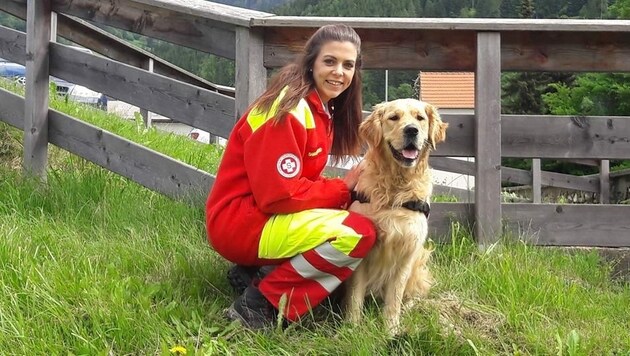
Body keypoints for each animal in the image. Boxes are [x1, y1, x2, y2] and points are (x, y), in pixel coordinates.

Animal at [346, 98, 450, 336]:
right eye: (393, 117)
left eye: (420, 118)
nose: (411, 130)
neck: (395, 187)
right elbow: (355, 295)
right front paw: (352, 328)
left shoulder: (407, 253)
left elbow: (394, 297)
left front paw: (391, 330)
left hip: (420, 261)